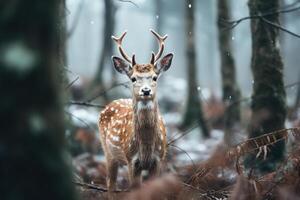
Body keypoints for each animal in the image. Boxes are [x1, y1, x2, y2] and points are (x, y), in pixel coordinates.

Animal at [98, 29, 173, 192]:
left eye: (155, 77)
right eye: (133, 78)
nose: (146, 91)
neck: (146, 146)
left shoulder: (159, 159)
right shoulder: (131, 160)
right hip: (107, 151)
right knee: (110, 183)